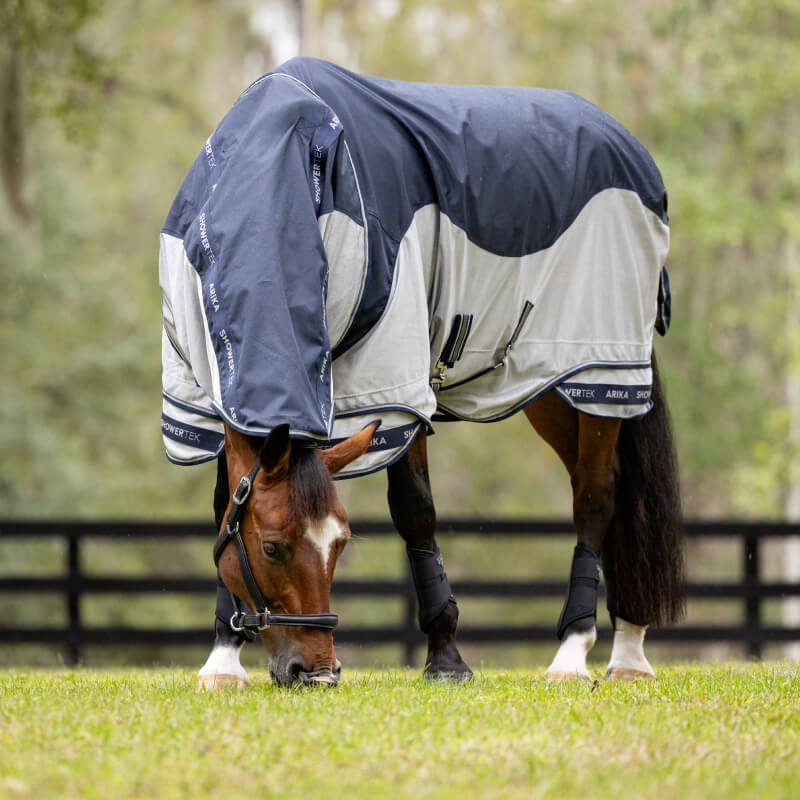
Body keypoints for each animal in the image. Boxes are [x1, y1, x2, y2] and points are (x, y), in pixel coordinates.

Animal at [158, 58, 685, 688]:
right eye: (272, 548)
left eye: (339, 545)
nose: (316, 672)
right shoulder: (207, 401)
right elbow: (224, 508)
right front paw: (222, 659)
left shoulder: (395, 392)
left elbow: (416, 512)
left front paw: (446, 656)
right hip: (553, 391)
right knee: (613, 492)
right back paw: (628, 652)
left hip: (602, 374)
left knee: (597, 497)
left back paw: (576, 652)